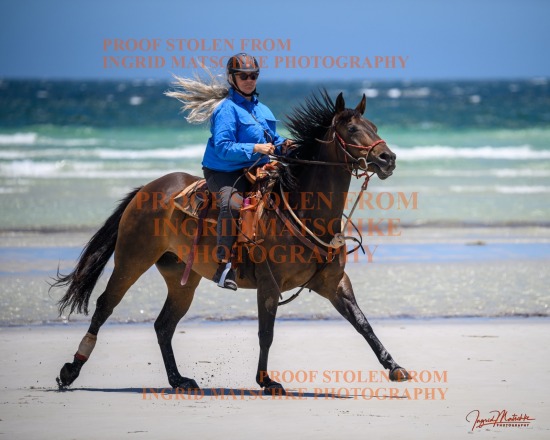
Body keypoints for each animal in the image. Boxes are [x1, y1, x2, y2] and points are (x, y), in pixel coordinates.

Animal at [52, 91, 410, 394]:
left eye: (374, 127)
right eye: (351, 129)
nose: (388, 158)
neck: (306, 211)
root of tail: (147, 189)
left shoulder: (334, 283)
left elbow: (363, 324)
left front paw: (394, 366)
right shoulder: (269, 284)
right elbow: (266, 333)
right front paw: (266, 381)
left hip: (181, 279)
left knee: (163, 326)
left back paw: (178, 380)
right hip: (132, 261)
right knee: (105, 306)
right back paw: (71, 369)